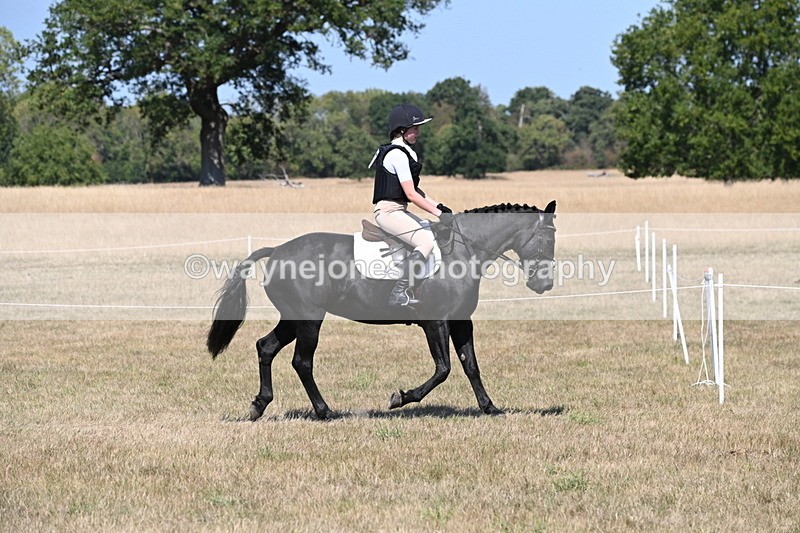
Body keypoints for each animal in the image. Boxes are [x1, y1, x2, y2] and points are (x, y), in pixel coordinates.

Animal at [207, 200, 557, 420]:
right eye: (547, 240)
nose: (545, 284)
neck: (463, 252)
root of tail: (278, 250)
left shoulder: (461, 322)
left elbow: (470, 365)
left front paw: (489, 407)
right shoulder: (436, 322)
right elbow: (443, 369)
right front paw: (401, 398)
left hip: (293, 319)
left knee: (266, 347)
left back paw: (259, 405)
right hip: (309, 320)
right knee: (302, 362)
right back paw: (325, 412)